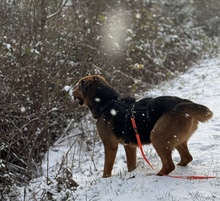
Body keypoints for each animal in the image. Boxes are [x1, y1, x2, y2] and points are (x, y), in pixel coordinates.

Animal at [74, 75, 213, 177]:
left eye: (77, 86)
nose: (71, 92)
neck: (107, 102)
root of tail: (184, 103)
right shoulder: (129, 146)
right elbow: (131, 165)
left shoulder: (110, 146)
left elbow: (106, 170)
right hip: (176, 139)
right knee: (187, 158)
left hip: (157, 136)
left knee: (169, 164)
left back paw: (157, 175)